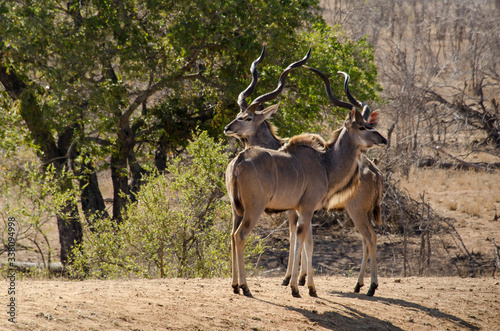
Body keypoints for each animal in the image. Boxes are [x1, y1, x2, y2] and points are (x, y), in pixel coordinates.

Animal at [226, 57, 386, 298]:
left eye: (246, 117)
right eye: (362, 126)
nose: (382, 139)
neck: (325, 162)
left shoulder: (301, 209)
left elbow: (304, 240)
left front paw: (302, 283)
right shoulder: (304, 208)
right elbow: (301, 239)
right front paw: (297, 285)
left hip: (239, 209)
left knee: (369, 237)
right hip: (254, 208)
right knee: (239, 235)